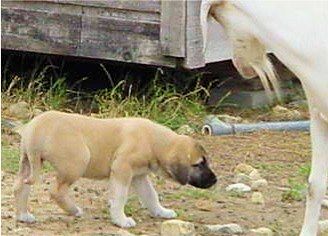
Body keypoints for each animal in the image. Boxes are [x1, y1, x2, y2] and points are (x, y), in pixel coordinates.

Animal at [14, 111, 217, 228]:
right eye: (199, 164)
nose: (215, 180)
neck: (154, 141)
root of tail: (35, 127)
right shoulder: (122, 169)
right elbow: (119, 197)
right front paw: (121, 220)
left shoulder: (139, 177)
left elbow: (151, 196)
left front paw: (161, 212)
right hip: (77, 162)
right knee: (56, 191)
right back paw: (74, 210)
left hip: (27, 163)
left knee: (20, 188)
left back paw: (23, 215)